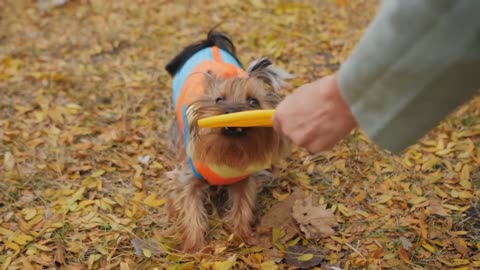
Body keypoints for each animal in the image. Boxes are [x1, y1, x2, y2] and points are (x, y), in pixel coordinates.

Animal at [163, 31, 290, 253]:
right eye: (219, 100)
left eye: (253, 101)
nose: (231, 111)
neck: (229, 149)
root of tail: (210, 41)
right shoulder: (187, 178)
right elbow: (190, 209)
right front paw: (194, 247)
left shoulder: (244, 178)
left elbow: (243, 205)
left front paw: (242, 235)